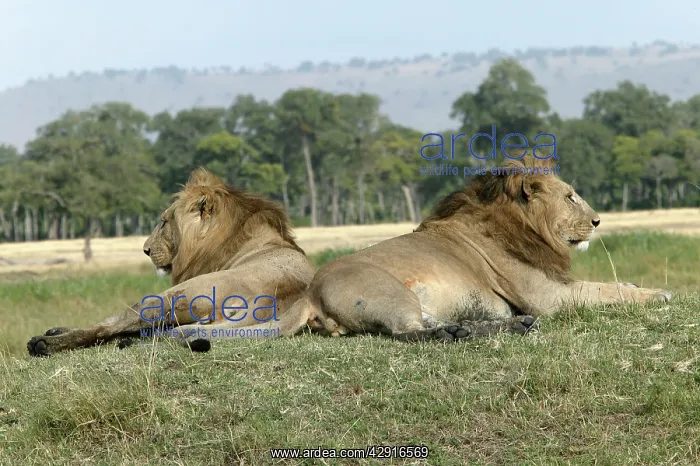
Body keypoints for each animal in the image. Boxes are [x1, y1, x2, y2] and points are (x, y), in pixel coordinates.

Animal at [27, 167, 315, 356]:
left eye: (164, 222)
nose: (145, 250)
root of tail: (268, 303)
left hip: (171, 295)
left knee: (107, 327)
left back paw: (45, 342)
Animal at [179, 156, 673, 346]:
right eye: (571, 197)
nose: (598, 221)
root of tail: (310, 293)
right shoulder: (550, 296)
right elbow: (610, 291)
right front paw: (659, 295)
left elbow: (614, 284)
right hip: (391, 292)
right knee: (412, 333)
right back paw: (467, 332)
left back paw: (502, 326)